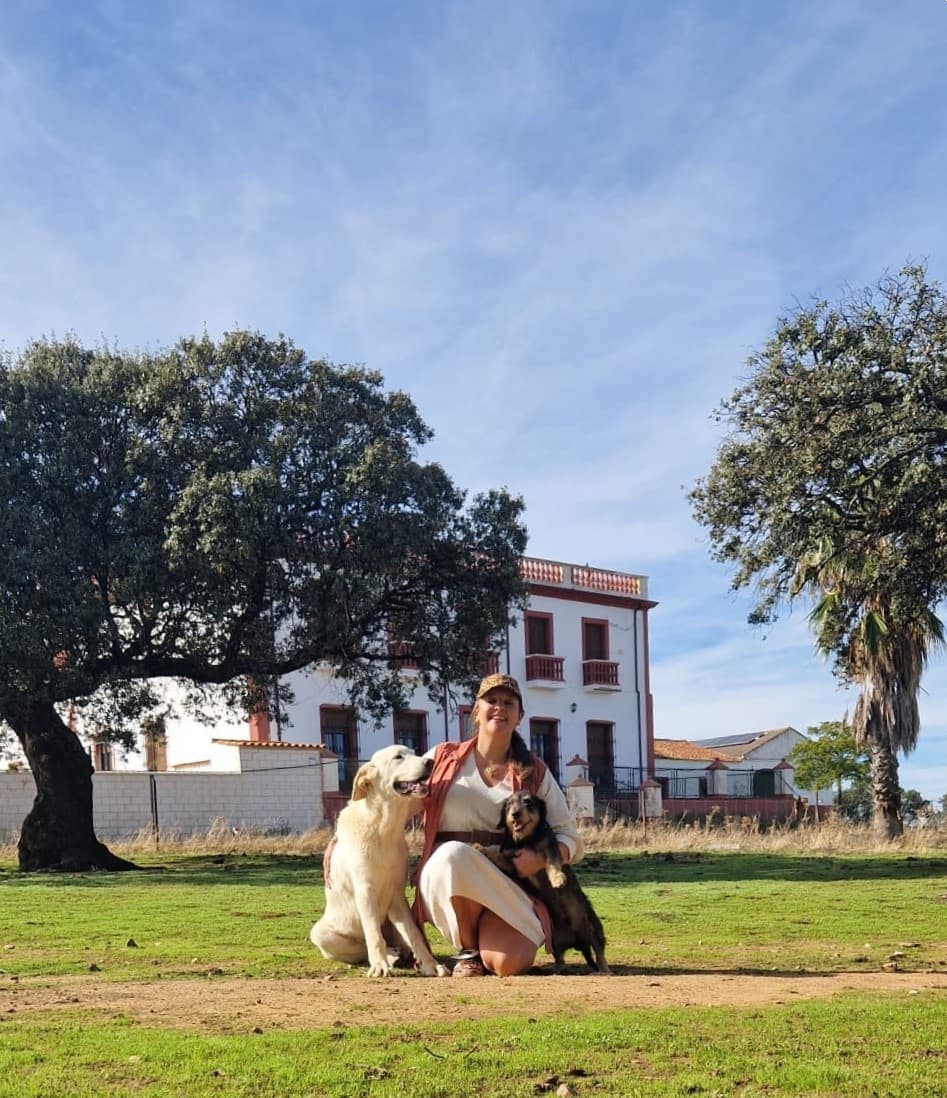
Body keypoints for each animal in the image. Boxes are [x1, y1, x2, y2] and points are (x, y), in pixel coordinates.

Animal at [307, 746, 448, 979]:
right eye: (398, 757)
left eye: (414, 752)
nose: (430, 762)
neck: (383, 828)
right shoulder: (366, 891)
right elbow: (373, 934)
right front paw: (380, 965)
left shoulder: (397, 895)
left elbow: (414, 934)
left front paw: (430, 964)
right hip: (321, 934)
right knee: (363, 946)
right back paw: (389, 956)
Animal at [474, 790, 615, 979]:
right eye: (509, 805)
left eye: (527, 802)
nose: (515, 814)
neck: (526, 839)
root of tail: (578, 941)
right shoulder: (512, 862)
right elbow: (498, 855)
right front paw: (480, 848)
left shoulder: (550, 846)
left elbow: (553, 863)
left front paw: (558, 879)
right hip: (554, 941)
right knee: (561, 959)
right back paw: (554, 970)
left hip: (593, 929)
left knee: (599, 952)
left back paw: (604, 970)